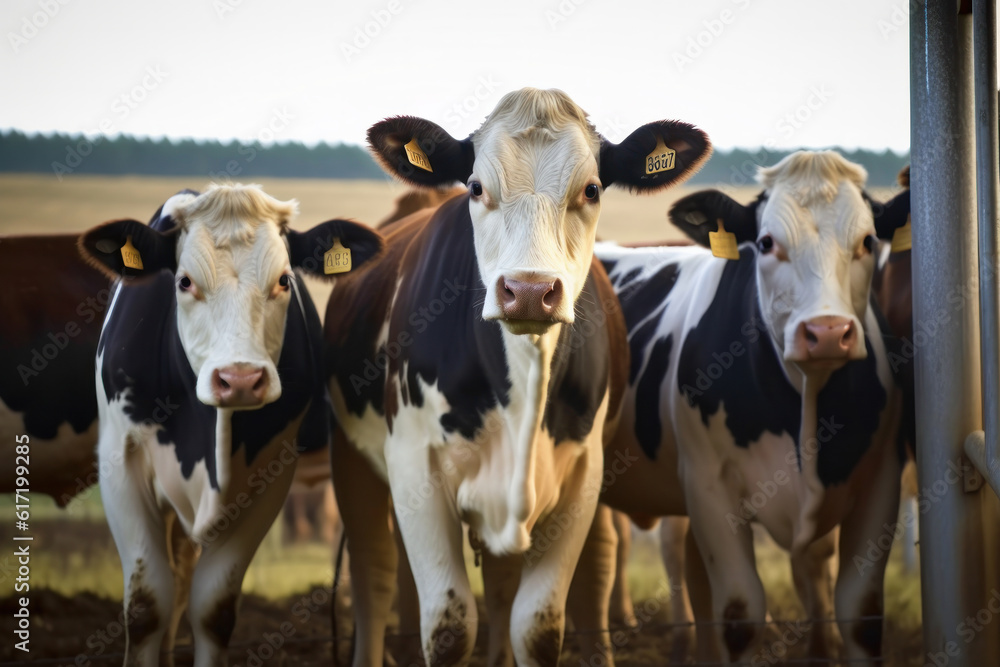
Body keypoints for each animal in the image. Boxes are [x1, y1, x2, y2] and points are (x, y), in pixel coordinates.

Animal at [77, 185, 382, 667]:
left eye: (284, 280)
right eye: (184, 281)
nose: (240, 378)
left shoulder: (270, 474)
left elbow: (213, 609)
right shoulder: (119, 462)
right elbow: (147, 606)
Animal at [326, 86, 712, 664]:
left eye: (592, 188)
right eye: (476, 187)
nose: (529, 291)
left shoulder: (582, 479)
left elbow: (537, 625)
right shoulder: (414, 467)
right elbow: (448, 625)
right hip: (353, 460)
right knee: (374, 573)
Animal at [592, 153, 916, 667]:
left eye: (868, 241)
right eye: (766, 243)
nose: (827, 332)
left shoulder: (881, 479)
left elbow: (861, 615)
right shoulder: (709, 489)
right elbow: (741, 617)